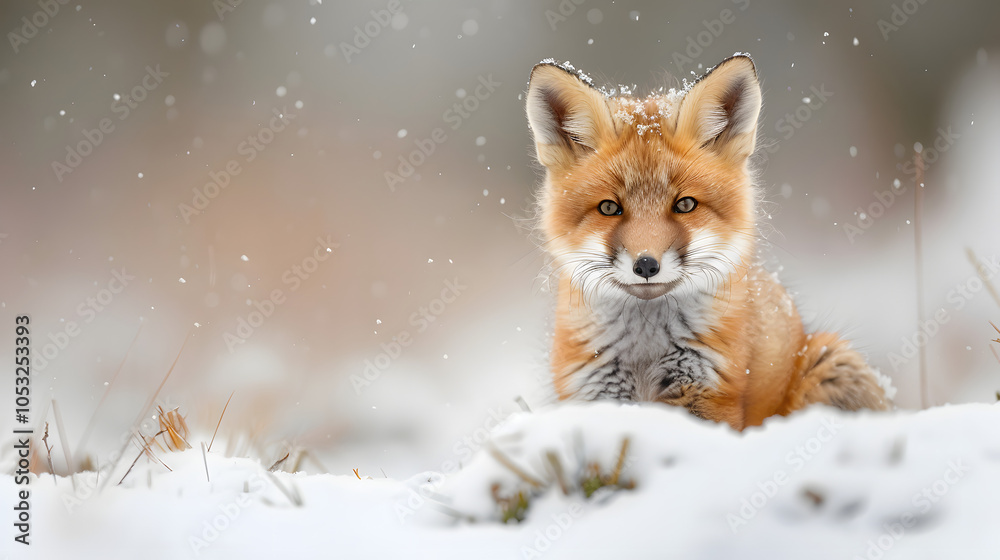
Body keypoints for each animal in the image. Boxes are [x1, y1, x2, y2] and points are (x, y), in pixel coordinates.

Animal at [525, 54, 893, 430]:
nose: (646, 265)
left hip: (829, 361)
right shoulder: (596, 393)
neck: (646, 351)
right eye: (609, 208)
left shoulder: (709, 393)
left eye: (685, 205)